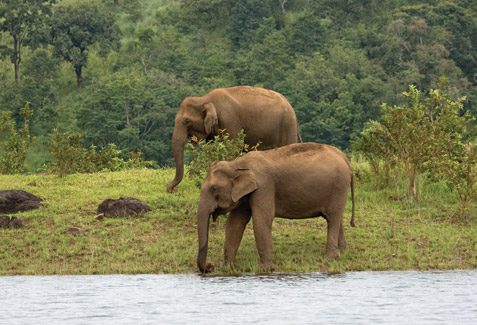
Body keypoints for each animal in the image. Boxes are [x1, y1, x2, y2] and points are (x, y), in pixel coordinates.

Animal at [165, 86, 300, 192]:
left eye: (187, 121)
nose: (171, 189)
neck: (205, 99)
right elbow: (211, 149)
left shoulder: (230, 120)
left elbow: (234, 147)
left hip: (288, 126)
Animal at [195, 143, 356, 272]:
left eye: (214, 189)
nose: (210, 265)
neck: (236, 164)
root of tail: (344, 158)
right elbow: (235, 223)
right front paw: (228, 267)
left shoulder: (264, 186)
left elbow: (262, 219)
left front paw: (266, 269)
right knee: (335, 218)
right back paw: (343, 252)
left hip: (339, 186)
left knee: (333, 217)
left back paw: (330, 258)